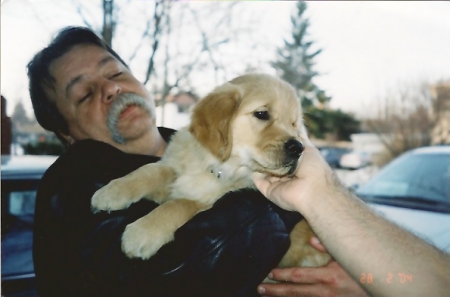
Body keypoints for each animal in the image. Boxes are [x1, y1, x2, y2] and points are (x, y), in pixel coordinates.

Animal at [90, 72, 330, 268]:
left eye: (294, 124)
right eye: (262, 114)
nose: (298, 148)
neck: (217, 167)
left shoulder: (209, 204)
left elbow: (180, 203)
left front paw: (143, 232)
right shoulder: (174, 170)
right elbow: (152, 170)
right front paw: (112, 192)